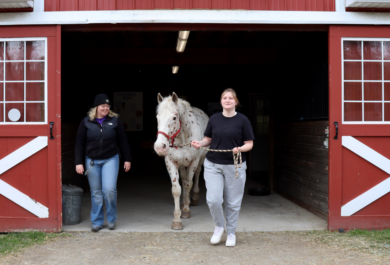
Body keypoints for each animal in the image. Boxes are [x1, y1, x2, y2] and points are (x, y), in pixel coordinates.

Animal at [154, 93, 209, 229]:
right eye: (158, 117)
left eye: (174, 118)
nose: (159, 147)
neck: (183, 139)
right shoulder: (171, 162)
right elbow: (177, 189)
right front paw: (177, 219)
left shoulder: (194, 161)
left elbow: (189, 184)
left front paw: (186, 211)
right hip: (183, 164)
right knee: (183, 178)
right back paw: (185, 201)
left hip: (200, 160)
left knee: (197, 174)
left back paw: (193, 198)